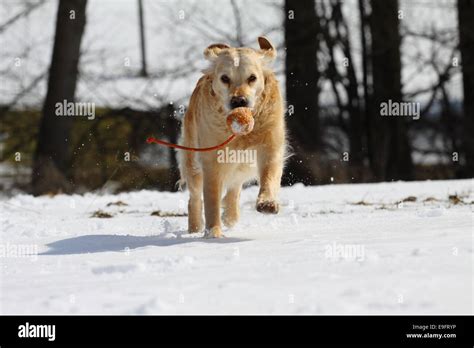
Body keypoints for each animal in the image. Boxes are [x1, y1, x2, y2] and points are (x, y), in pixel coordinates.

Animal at [178, 36, 286, 238]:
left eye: (252, 78)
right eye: (224, 78)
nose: (239, 101)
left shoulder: (270, 145)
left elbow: (269, 174)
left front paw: (267, 202)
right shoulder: (211, 158)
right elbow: (211, 199)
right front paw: (213, 232)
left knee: (234, 187)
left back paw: (231, 215)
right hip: (192, 161)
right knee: (194, 197)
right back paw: (195, 228)